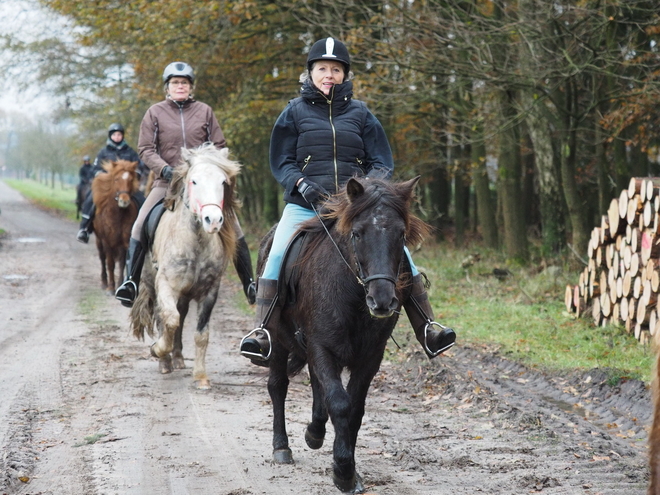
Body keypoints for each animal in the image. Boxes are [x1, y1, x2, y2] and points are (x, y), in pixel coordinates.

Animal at [91, 159, 139, 292]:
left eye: (131, 179)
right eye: (116, 179)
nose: (124, 201)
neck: (118, 216)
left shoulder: (124, 242)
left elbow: (122, 263)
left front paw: (119, 284)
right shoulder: (107, 241)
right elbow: (110, 263)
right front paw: (111, 287)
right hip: (99, 240)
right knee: (102, 259)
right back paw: (104, 283)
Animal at [130, 143, 241, 392]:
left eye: (223, 182)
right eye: (194, 181)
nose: (213, 220)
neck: (195, 242)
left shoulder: (209, 291)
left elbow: (201, 334)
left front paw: (200, 376)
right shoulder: (165, 285)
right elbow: (169, 320)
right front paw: (158, 350)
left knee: (180, 318)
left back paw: (178, 358)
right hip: (153, 284)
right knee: (164, 318)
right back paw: (165, 361)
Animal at [262, 177, 428, 492]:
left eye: (401, 234)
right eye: (357, 233)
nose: (382, 301)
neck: (352, 294)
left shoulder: (370, 356)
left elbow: (354, 410)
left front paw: (348, 467)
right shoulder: (321, 347)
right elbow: (339, 403)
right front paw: (343, 471)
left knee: (317, 386)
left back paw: (315, 432)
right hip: (278, 340)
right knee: (278, 386)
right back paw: (281, 447)